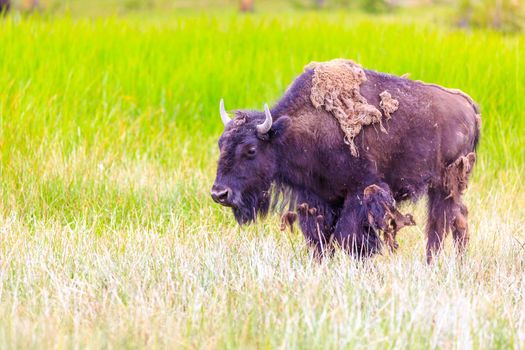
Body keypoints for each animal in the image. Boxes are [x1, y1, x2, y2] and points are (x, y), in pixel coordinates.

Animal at [210, 59, 478, 262]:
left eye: (251, 150)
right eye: (221, 144)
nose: (219, 194)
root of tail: (469, 106)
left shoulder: (359, 192)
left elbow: (350, 237)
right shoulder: (316, 198)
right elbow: (320, 237)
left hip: (444, 185)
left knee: (441, 224)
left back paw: (433, 263)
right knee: (458, 219)